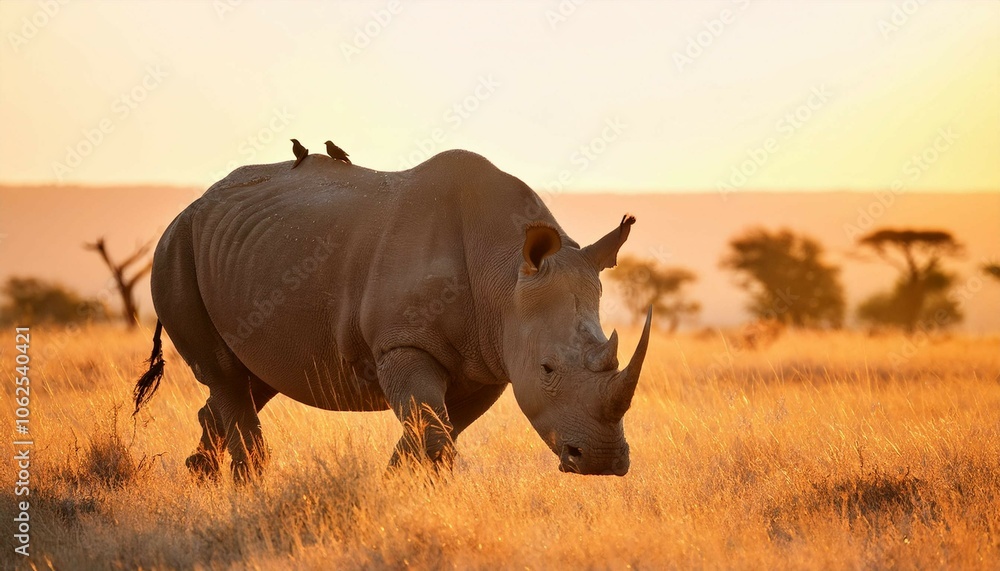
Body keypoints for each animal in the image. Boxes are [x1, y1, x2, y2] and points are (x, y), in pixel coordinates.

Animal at [134, 149, 652, 481]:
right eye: (547, 369)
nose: (602, 462)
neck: (504, 275)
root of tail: (193, 205)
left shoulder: (488, 362)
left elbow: (433, 432)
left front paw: (393, 491)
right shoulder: (403, 343)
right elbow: (433, 434)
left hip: (238, 252)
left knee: (251, 378)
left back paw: (201, 480)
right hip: (175, 248)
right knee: (225, 375)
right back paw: (248, 489)